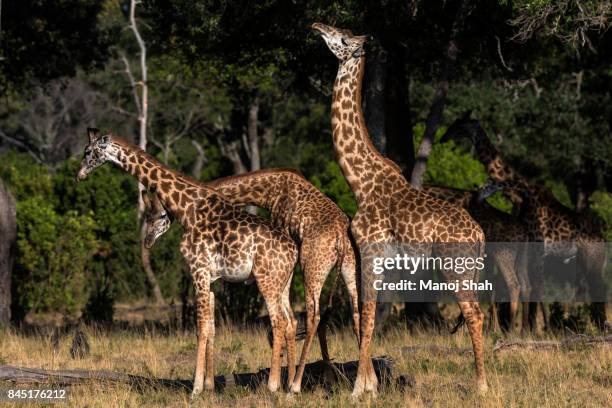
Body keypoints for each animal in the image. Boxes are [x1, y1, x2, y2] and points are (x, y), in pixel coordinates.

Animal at [75, 128, 300, 396]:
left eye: (88, 151)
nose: (79, 175)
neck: (187, 208)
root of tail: (293, 251)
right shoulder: (211, 278)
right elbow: (211, 328)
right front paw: (210, 386)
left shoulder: (198, 270)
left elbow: (200, 328)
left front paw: (195, 389)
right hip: (283, 283)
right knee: (291, 320)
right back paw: (290, 385)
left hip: (266, 279)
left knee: (278, 321)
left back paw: (273, 385)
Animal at [141, 167, 360, 394]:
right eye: (146, 215)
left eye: (159, 214)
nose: (147, 241)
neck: (268, 189)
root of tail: (340, 237)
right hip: (348, 269)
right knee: (352, 315)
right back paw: (353, 381)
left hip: (310, 266)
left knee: (310, 317)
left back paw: (295, 385)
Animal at [314, 23, 490, 396]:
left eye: (341, 38)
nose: (316, 26)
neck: (360, 182)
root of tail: (480, 235)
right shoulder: (365, 254)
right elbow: (361, 317)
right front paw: (370, 385)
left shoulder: (372, 250)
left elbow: (367, 318)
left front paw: (358, 390)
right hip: (466, 269)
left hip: (455, 267)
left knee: (474, 314)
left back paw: (481, 386)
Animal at [442, 115, 608, 332]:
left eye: (460, 125)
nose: (443, 137)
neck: (523, 192)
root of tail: (603, 238)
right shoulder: (531, 250)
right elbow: (528, 287)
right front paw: (529, 329)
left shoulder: (537, 247)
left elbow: (533, 287)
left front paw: (530, 330)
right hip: (582, 260)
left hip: (592, 258)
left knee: (598, 288)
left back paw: (601, 326)